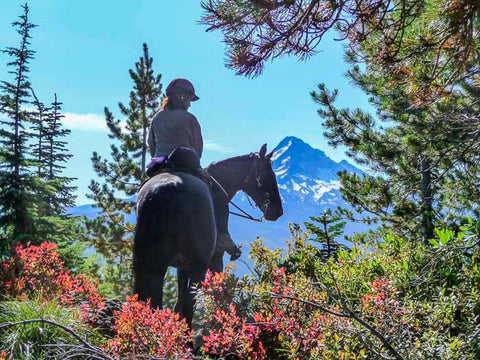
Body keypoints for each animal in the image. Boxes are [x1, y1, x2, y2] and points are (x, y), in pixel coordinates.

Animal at [133, 144, 284, 326]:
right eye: (269, 174)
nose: (278, 211)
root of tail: (165, 190)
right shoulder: (215, 260)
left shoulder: (182, 267)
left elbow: (178, 303)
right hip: (199, 262)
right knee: (189, 304)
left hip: (151, 263)